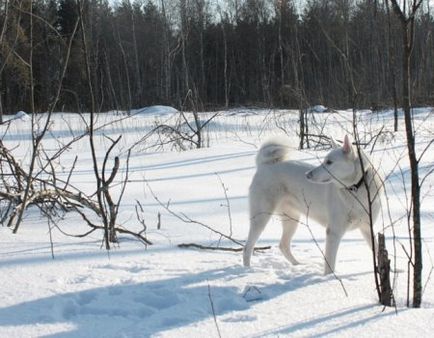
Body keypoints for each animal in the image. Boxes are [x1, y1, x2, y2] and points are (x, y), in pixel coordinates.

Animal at [244, 135, 384, 274]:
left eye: (329, 162)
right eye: (325, 161)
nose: (307, 175)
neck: (355, 188)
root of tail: (265, 165)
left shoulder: (367, 228)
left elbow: (377, 250)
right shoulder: (333, 232)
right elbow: (330, 264)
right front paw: (329, 278)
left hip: (292, 219)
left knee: (283, 245)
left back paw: (298, 265)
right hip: (261, 218)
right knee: (248, 247)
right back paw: (247, 270)